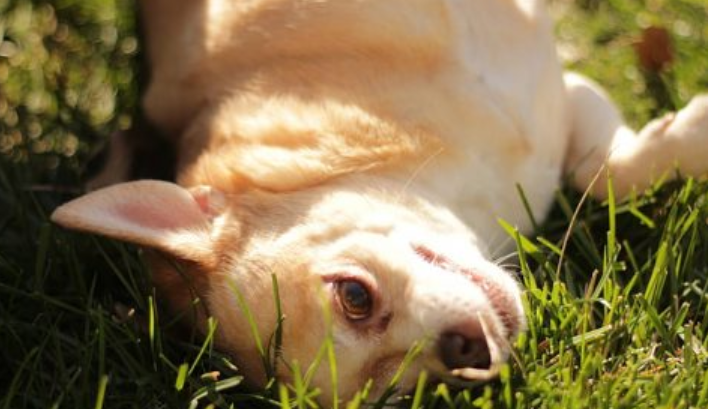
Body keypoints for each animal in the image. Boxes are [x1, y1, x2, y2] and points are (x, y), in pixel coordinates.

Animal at [51, 0, 708, 402]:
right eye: (404, 393)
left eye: (355, 297)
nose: (464, 354)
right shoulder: (566, 100)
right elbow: (603, 173)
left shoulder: (561, 91)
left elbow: (604, 170)